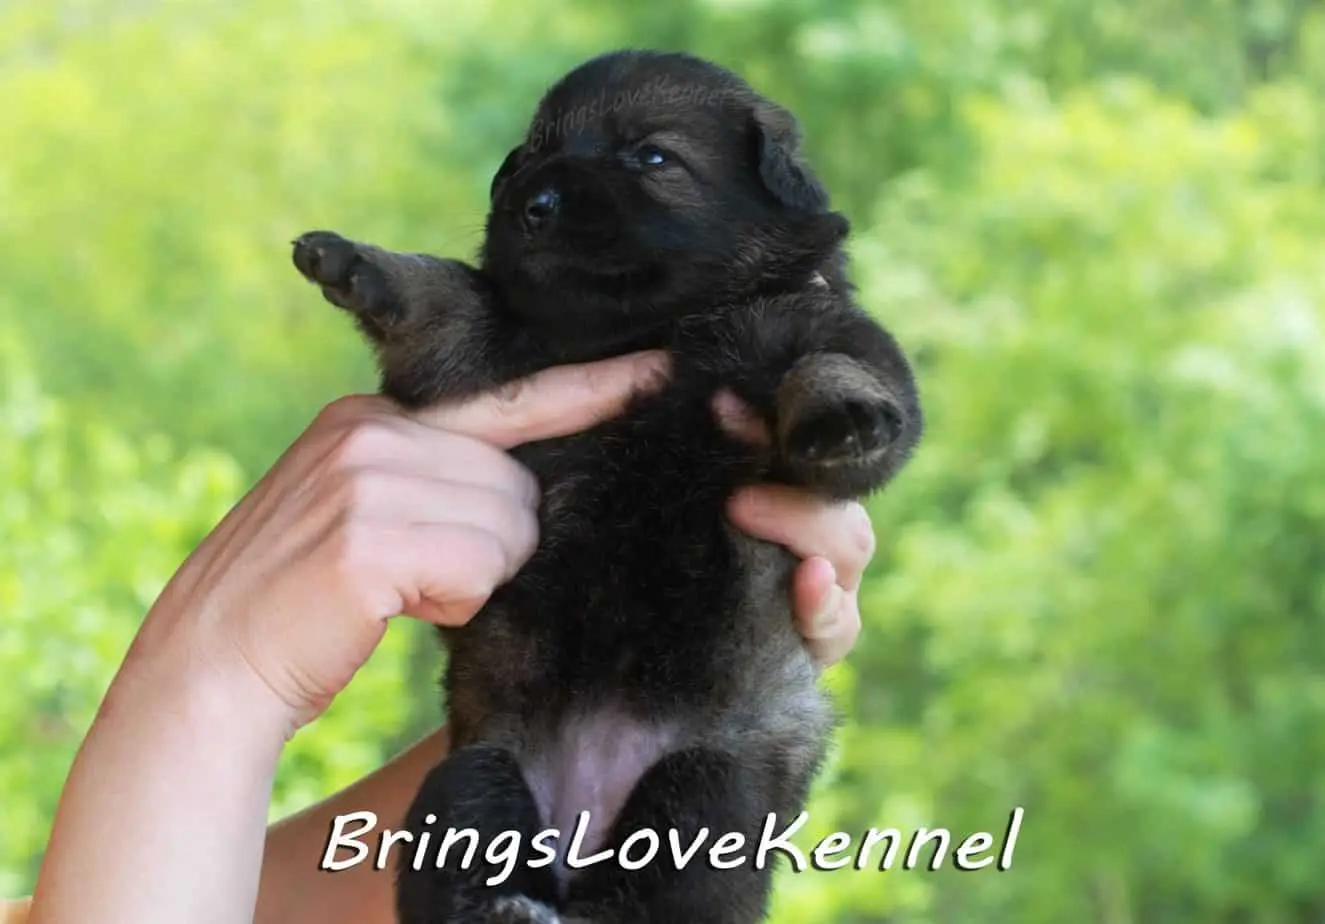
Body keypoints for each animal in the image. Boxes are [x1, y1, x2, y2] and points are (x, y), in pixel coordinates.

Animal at [291, 48, 923, 923]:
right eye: (530, 153)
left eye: (651, 157)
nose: (529, 203)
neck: (645, 329)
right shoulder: (488, 352)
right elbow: (439, 297)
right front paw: (360, 264)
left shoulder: (815, 325)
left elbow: (835, 364)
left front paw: (843, 412)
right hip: (479, 769)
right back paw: (507, 907)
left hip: (713, 783)